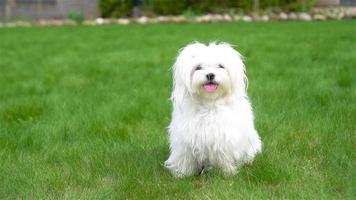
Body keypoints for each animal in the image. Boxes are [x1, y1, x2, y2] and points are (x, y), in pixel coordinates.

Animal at [165, 41, 262, 177]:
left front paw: (227, 172)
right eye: (198, 67)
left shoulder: (224, 137)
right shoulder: (185, 139)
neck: (209, 103)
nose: (210, 75)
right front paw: (183, 174)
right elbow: (186, 158)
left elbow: (224, 157)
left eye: (220, 66)